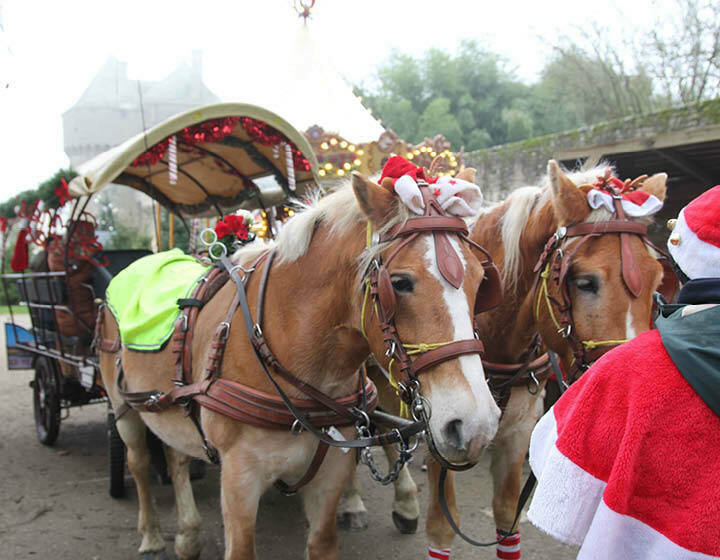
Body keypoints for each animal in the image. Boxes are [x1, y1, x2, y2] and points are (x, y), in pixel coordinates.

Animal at [97, 171, 501, 560]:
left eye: (481, 282)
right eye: (400, 282)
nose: (476, 425)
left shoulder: (331, 472)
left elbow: (322, 541)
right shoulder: (239, 477)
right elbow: (241, 549)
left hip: (172, 404)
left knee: (176, 455)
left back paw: (188, 534)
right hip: (124, 408)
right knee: (139, 463)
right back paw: (151, 537)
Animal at [339, 160, 669, 559]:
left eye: (658, 280)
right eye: (585, 282)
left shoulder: (518, 431)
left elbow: (508, 518)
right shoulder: (440, 431)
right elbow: (442, 527)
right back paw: (352, 502)